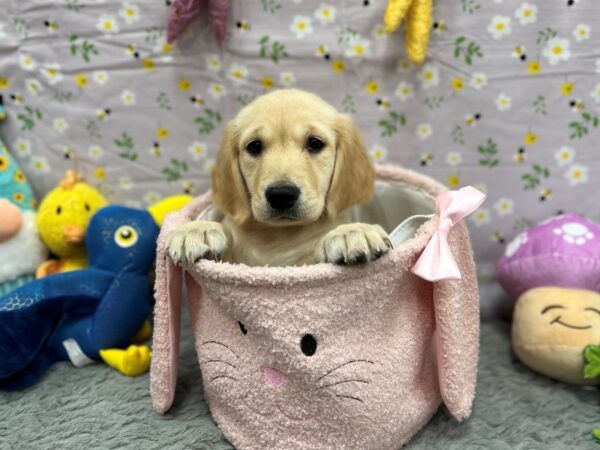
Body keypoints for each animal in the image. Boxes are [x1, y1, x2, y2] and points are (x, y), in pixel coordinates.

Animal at [165, 89, 390, 268]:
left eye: (315, 143)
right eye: (254, 146)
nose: (281, 195)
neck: (280, 237)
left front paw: (350, 232)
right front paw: (198, 228)